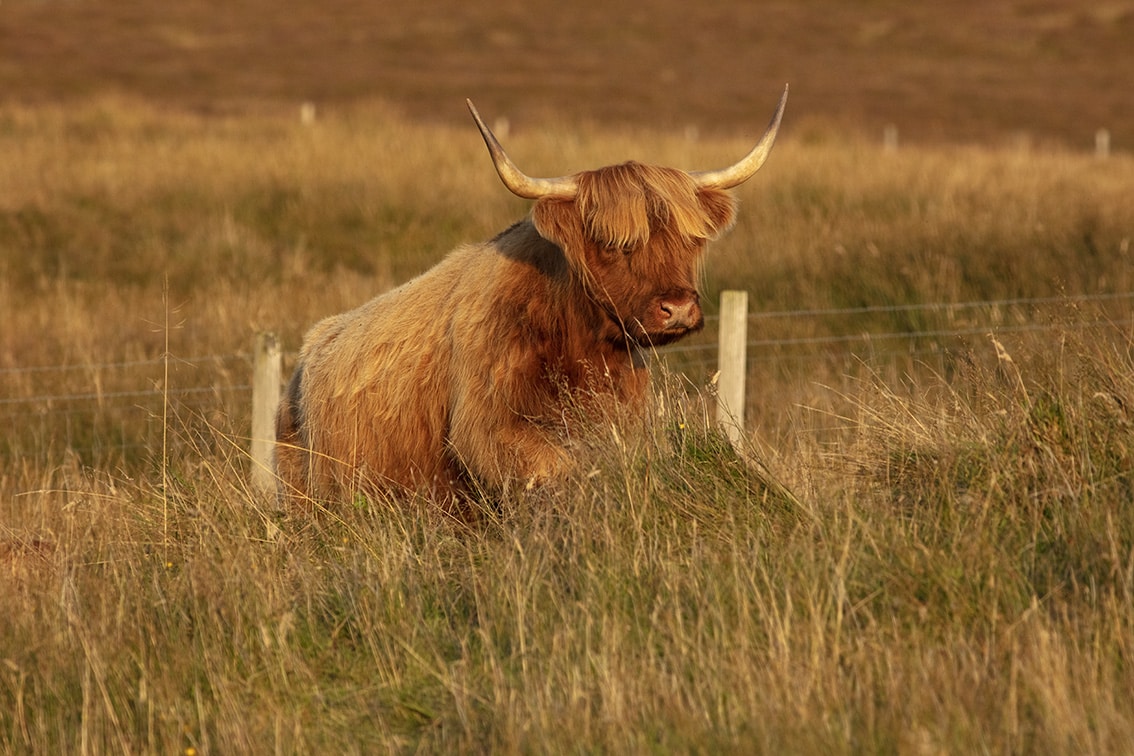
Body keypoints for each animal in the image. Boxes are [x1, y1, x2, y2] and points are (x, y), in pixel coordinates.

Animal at [275, 85, 789, 507]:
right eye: (611, 242)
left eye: (691, 240)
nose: (677, 308)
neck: (582, 346)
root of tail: (305, 355)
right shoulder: (486, 428)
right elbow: (557, 468)